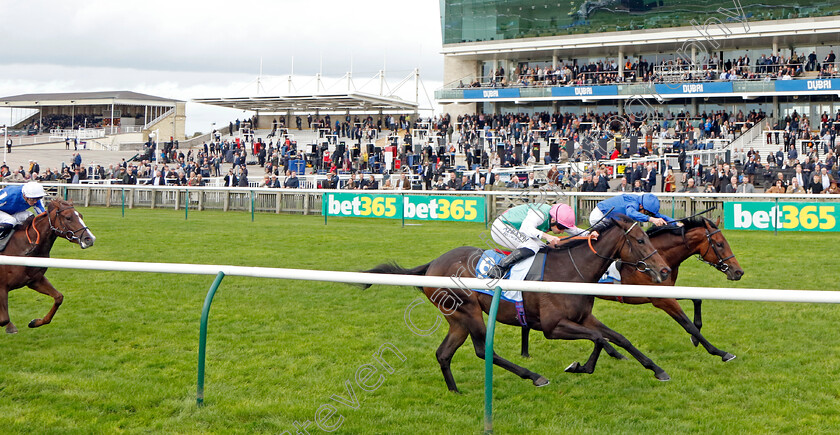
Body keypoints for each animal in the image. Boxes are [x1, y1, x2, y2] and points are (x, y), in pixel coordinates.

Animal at [0, 198, 95, 334]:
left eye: (81, 216)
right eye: (68, 217)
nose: (90, 239)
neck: (26, 248)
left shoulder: (34, 281)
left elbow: (59, 297)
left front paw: (35, 322)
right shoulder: (2, 286)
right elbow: (4, 319)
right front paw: (10, 326)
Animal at [360, 216, 668, 394]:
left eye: (648, 236)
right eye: (640, 239)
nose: (664, 271)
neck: (572, 270)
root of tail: (433, 264)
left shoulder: (583, 317)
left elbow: (617, 338)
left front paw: (657, 370)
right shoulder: (553, 327)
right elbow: (599, 339)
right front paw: (579, 367)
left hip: (457, 319)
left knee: (443, 354)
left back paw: (455, 391)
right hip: (469, 311)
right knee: (483, 350)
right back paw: (534, 377)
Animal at [520, 218, 744, 368]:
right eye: (720, 244)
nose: (738, 272)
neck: (661, 256)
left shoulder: (665, 292)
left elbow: (697, 300)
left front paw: (697, 340)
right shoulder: (660, 299)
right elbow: (687, 324)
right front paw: (720, 352)